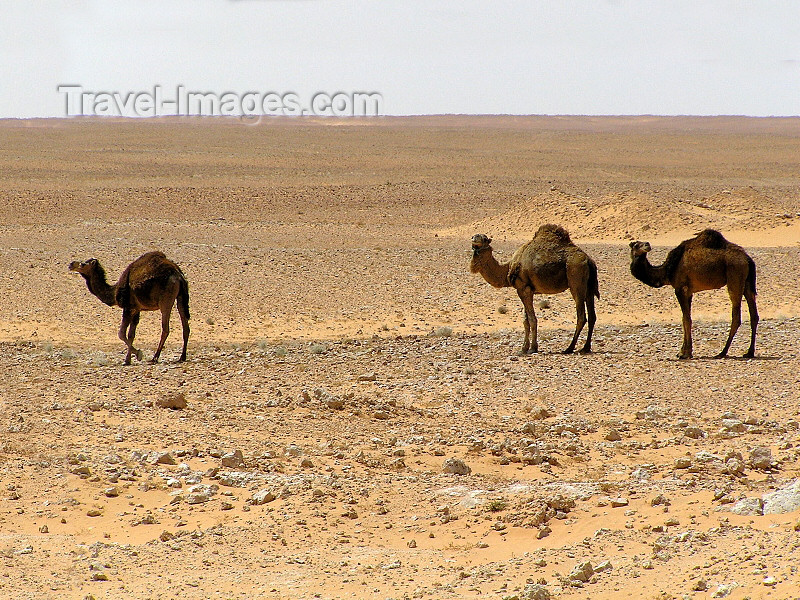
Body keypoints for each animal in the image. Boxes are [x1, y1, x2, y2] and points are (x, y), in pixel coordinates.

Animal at [468, 225, 600, 356]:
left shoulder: (524, 289)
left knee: (581, 316)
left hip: (576, 279)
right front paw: (523, 348)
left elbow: (532, 320)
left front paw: (532, 348)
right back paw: (585, 348)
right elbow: (525, 321)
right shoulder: (526, 290)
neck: (507, 268)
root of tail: (589, 260)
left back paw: (569, 348)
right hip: (588, 288)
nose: (474, 237)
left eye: (485, 239)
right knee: (592, 316)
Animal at [628, 229, 760, 360]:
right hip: (747, 282)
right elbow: (684, 318)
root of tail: (748, 259)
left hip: (735, 275)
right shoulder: (688, 292)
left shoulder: (680, 289)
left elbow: (686, 319)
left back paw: (722, 352)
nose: (647, 244)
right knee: (754, 315)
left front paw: (685, 353)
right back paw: (749, 352)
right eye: (636, 245)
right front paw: (682, 351)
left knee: (736, 317)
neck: (668, 270)